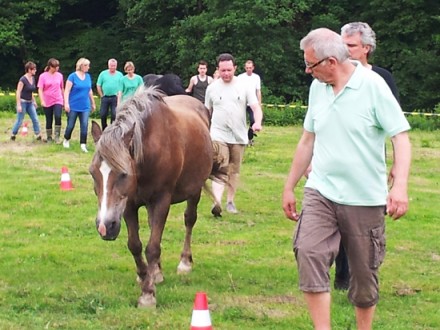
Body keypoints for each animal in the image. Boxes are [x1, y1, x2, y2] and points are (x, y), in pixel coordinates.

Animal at [89, 85, 213, 306]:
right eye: (92, 173)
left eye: (123, 174)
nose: (105, 227)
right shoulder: (129, 205)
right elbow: (135, 245)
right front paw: (144, 274)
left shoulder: (161, 200)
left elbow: (152, 247)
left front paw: (148, 295)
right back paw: (156, 271)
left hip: (194, 190)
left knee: (189, 220)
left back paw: (184, 263)